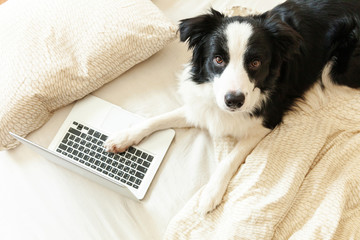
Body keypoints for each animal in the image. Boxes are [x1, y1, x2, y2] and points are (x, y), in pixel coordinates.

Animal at [103, 0, 360, 216]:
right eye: (218, 59)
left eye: (255, 62)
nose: (233, 101)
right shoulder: (204, 106)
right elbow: (158, 119)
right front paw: (124, 137)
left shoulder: (264, 122)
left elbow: (230, 159)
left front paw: (210, 193)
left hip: (339, 72)